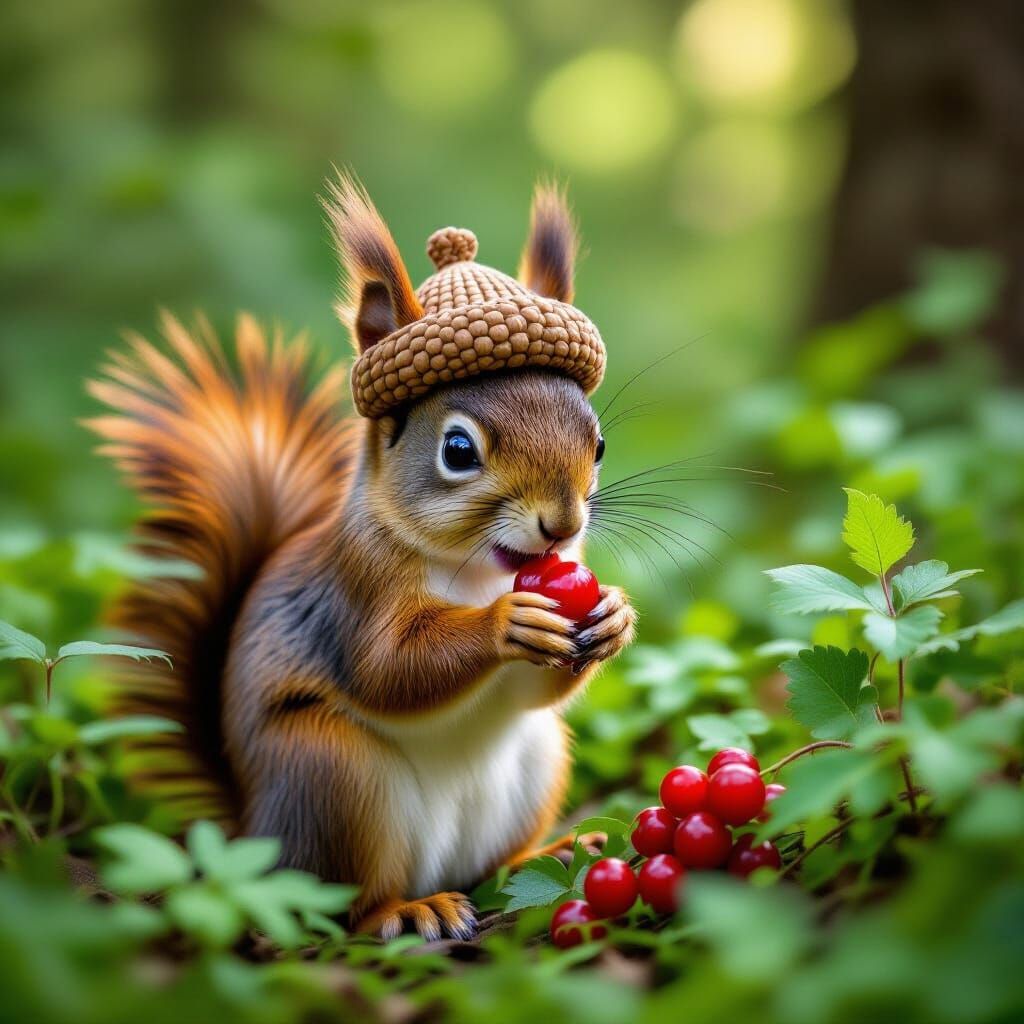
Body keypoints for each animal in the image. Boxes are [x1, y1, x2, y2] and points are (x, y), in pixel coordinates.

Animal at [86, 175, 636, 941]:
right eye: (458, 450)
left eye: (599, 443)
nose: (562, 526)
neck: (477, 572)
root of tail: (258, 842)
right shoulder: (356, 590)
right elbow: (389, 669)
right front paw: (506, 624)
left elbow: (534, 687)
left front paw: (613, 615)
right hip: (335, 775)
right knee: (346, 902)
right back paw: (409, 910)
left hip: (537, 760)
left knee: (493, 863)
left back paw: (550, 853)